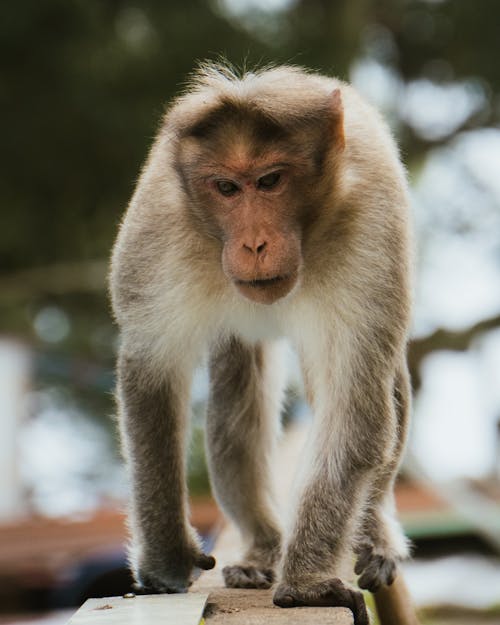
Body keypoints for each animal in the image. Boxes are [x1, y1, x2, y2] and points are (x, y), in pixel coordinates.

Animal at [110, 59, 414, 624]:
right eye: (227, 188)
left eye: (271, 181)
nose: (254, 244)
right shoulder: (159, 229)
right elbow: (152, 376)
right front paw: (166, 560)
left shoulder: (372, 223)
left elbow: (355, 400)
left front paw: (307, 584)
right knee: (236, 386)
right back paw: (261, 548)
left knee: (379, 378)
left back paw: (373, 530)